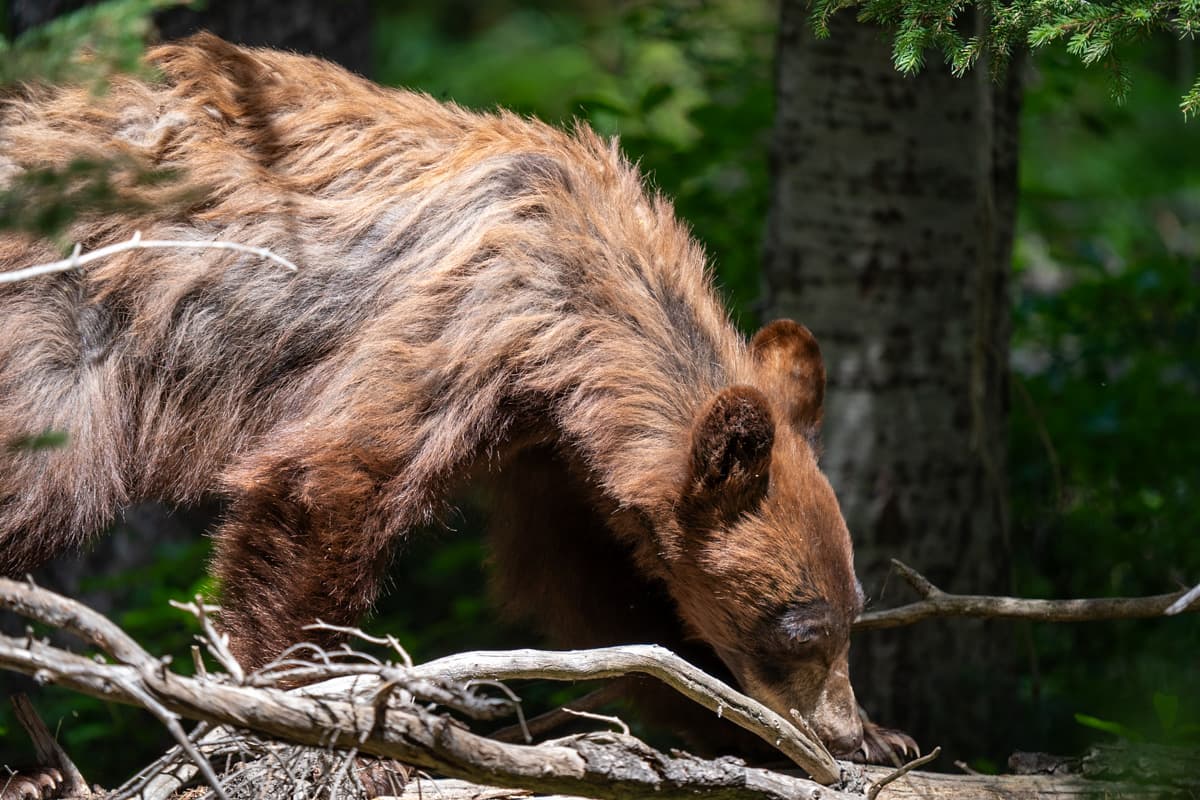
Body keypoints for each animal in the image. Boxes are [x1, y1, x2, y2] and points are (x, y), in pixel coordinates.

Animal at [0, 34, 866, 758]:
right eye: (800, 628)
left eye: (854, 610)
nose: (845, 733)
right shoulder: (466, 322)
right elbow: (333, 478)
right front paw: (294, 702)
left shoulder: (555, 445)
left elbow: (592, 587)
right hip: (56, 335)